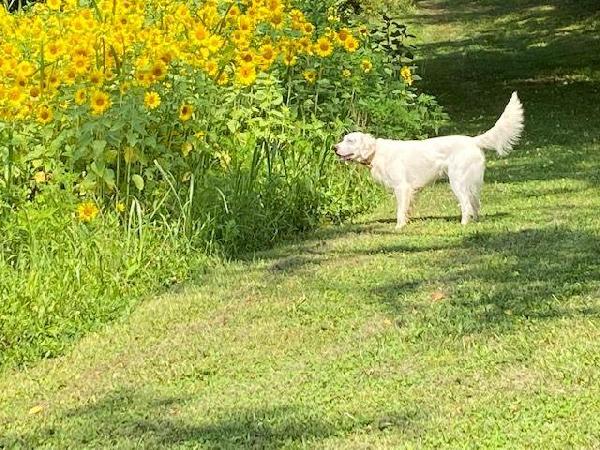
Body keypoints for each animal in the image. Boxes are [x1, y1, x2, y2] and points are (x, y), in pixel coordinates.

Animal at [336, 91, 524, 227]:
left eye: (350, 141)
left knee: (466, 204)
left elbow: (400, 210)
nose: (334, 148)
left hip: (457, 181)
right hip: (472, 183)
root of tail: (473, 140)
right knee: (475, 203)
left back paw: (463, 224)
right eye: (343, 139)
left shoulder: (402, 187)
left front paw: (398, 227)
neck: (377, 152)